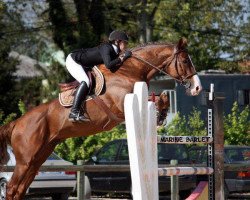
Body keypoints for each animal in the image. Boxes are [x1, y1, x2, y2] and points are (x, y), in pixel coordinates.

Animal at [0, 38, 202, 199]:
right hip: (25, 160)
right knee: (11, 188)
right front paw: (160, 114)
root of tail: (17, 123)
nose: (197, 88)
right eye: (185, 60)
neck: (127, 71)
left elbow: (161, 96)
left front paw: (162, 114)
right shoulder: (124, 104)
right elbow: (155, 98)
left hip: (39, 157)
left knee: (20, 189)